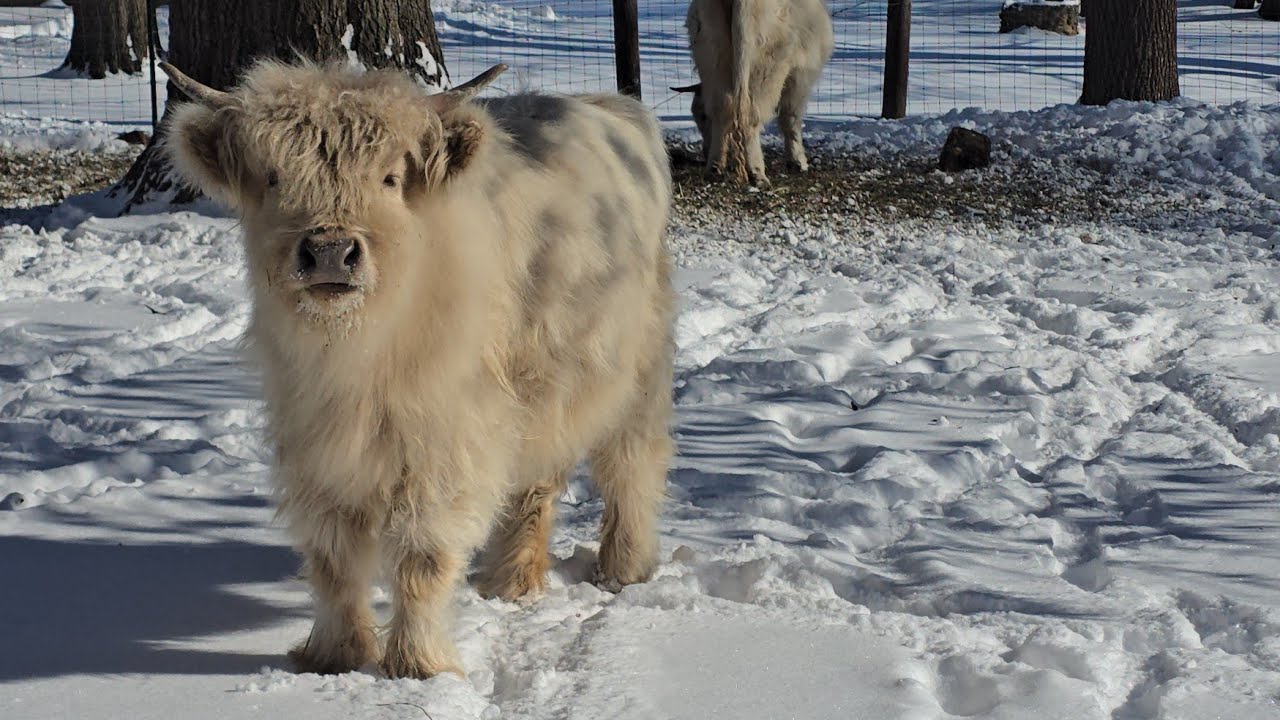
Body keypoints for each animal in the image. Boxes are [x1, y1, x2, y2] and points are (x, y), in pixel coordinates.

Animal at [160, 60, 676, 680]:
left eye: (389, 178)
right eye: (274, 177)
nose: (330, 252)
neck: (358, 355)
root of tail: (609, 105)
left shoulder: (444, 444)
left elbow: (422, 555)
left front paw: (417, 664)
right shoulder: (315, 446)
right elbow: (332, 557)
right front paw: (333, 655)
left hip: (639, 364)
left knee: (631, 461)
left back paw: (624, 568)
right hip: (540, 388)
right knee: (536, 482)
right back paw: (510, 581)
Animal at [675, 0, 834, 186]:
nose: (704, 152)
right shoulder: (802, 72)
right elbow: (791, 117)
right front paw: (798, 162)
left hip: (712, 58)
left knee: (722, 109)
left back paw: (715, 167)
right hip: (766, 68)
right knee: (751, 116)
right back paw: (757, 172)